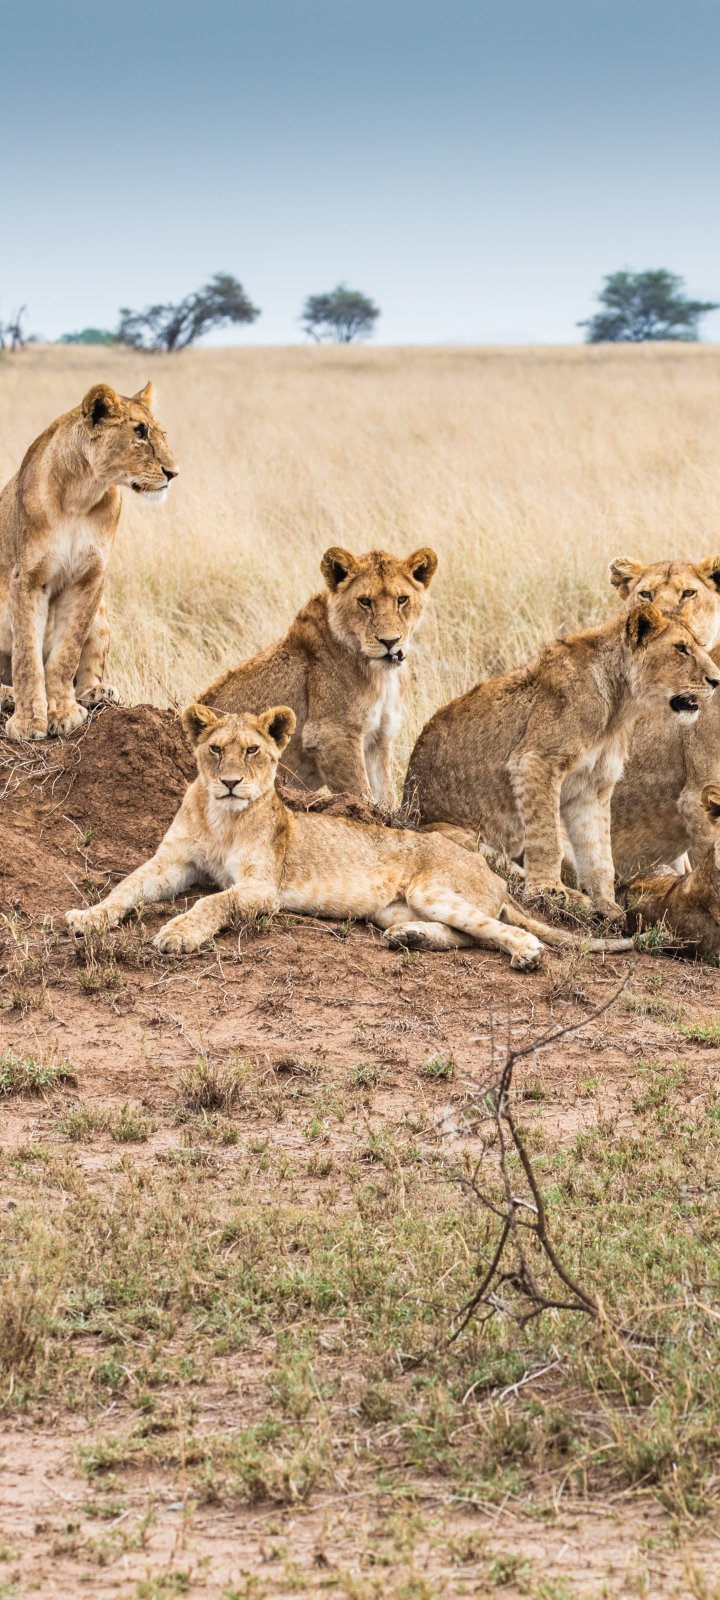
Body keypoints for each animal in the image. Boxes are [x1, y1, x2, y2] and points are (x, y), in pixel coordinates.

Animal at [0, 382, 178, 742]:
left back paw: (98, 692)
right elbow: (27, 657)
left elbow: (65, 653)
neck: (81, 493)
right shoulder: (26, 578)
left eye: (161, 433)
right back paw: (7, 694)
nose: (173, 472)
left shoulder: (91, 577)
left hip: (103, 613)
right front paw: (27, 722)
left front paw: (63, 713)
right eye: (140, 432)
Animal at [65, 703, 632, 967]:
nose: (229, 783)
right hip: (396, 907)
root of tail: (488, 872)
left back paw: (525, 955)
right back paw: (410, 938)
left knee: (504, 931)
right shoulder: (172, 862)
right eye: (215, 750)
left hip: (433, 888)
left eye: (252, 751)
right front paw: (86, 918)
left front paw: (178, 934)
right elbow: (125, 889)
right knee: (470, 934)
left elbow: (213, 902)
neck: (223, 817)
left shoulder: (262, 888)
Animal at [199, 546, 437, 807]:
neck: (381, 675)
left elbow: (385, 795)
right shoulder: (331, 735)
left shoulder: (379, 739)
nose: (390, 642)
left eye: (402, 599)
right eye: (365, 601)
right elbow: (360, 793)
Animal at [404, 604, 720, 917]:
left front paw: (608, 907)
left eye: (701, 646)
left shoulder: (593, 787)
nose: (716, 681)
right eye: (680, 648)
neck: (620, 707)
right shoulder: (536, 761)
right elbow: (547, 837)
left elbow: (598, 850)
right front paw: (548, 891)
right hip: (454, 834)